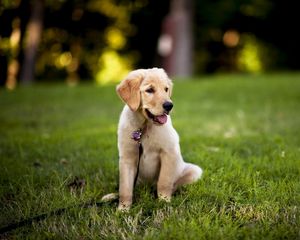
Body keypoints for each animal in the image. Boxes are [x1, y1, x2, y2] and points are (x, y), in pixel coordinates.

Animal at [102, 67, 203, 210]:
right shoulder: (127, 158)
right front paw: (123, 209)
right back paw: (111, 196)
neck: (144, 127)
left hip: (194, 171)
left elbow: (164, 181)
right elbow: (125, 188)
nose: (169, 105)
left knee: (174, 184)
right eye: (149, 90)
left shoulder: (168, 152)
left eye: (166, 89)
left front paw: (164, 201)